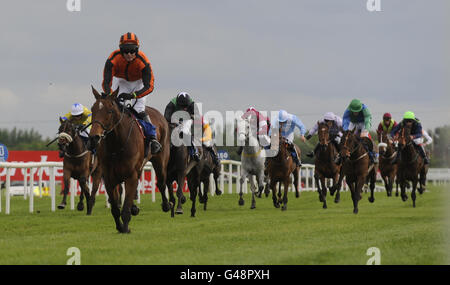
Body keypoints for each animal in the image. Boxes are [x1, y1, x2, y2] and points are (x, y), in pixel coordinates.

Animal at [88, 87, 171, 233]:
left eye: (109, 111)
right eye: (93, 110)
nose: (94, 137)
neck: (117, 145)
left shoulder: (130, 175)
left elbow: (125, 208)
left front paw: (126, 227)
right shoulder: (109, 178)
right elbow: (115, 208)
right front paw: (120, 226)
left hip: (160, 160)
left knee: (161, 183)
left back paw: (167, 205)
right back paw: (135, 208)